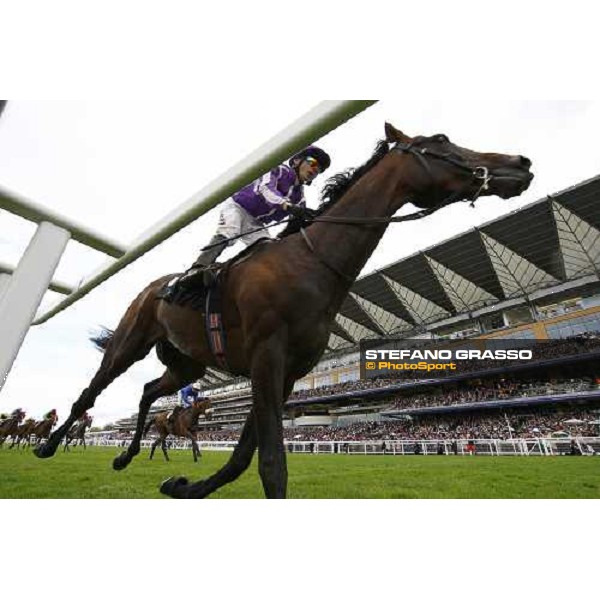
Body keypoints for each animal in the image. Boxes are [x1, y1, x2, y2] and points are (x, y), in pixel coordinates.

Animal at [35, 122, 532, 496]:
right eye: (443, 140)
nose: (521, 164)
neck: (312, 261)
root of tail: (155, 288)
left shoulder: (287, 370)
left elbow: (243, 455)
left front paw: (183, 485)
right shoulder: (266, 356)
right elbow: (272, 460)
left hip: (187, 364)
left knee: (147, 391)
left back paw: (125, 454)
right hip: (129, 342)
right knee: (91, 393)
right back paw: (47, 445)